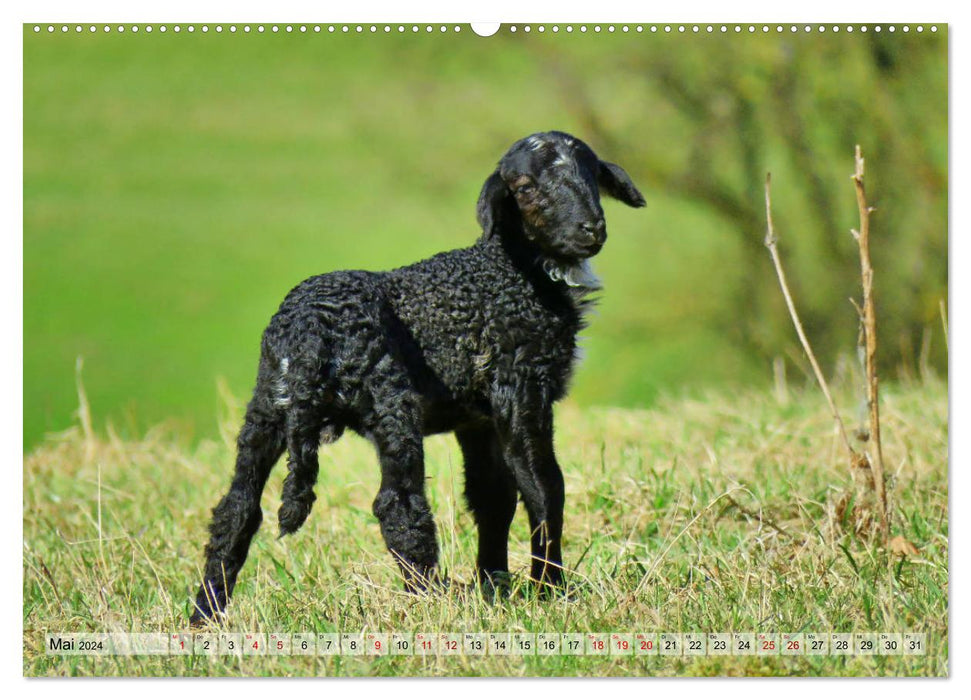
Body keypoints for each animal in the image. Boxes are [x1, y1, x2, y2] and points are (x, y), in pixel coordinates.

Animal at [190, 130, 644, 624]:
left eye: (592, 174)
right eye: (524, 188)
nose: (591, 230)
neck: (513, 272)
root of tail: (310, 332)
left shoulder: (478, 418)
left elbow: (493, 498)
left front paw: (495, 587)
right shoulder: (521, 384)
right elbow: (543, 486)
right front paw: (548, 591)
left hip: (268, 405)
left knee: (236, 508)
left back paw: (205, 613)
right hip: (391, 400)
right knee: (399, 506)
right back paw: (430, 603)